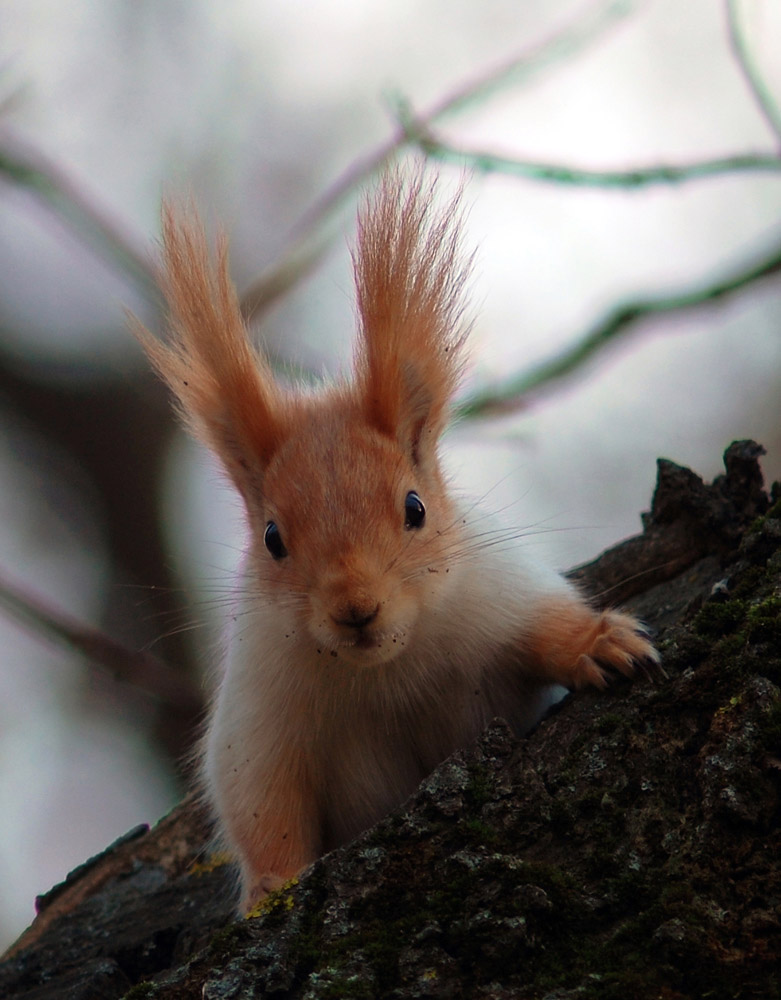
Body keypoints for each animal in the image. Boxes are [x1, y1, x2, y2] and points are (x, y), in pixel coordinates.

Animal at [133, 168, 660, 912]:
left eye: (415, 508)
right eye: (271, 538)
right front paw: (270, 888)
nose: (356, 608)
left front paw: (601, 643)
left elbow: (545, 622)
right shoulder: (257, 716)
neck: (385, 671)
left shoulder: (496, 590)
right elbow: (263, 805)